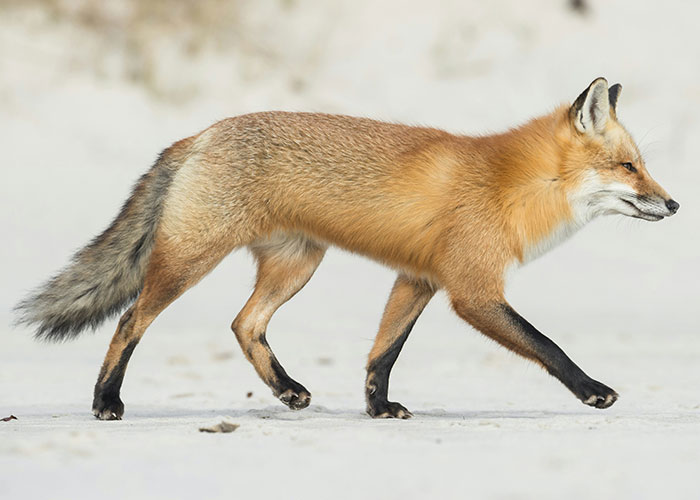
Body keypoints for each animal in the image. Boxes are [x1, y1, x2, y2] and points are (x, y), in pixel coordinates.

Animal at [16, 78, 680, 420]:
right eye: (629, 167)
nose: (674, 205)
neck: (512, 185)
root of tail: (198, 135)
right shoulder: (471, 290)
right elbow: (547, 345)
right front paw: (592, 390)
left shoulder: (419, 279)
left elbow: (382, 354)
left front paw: (378, 408)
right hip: (189, 262)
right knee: (131, 320)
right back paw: (106, 400)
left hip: (297, 266)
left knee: (244, 323)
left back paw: (286, 390)